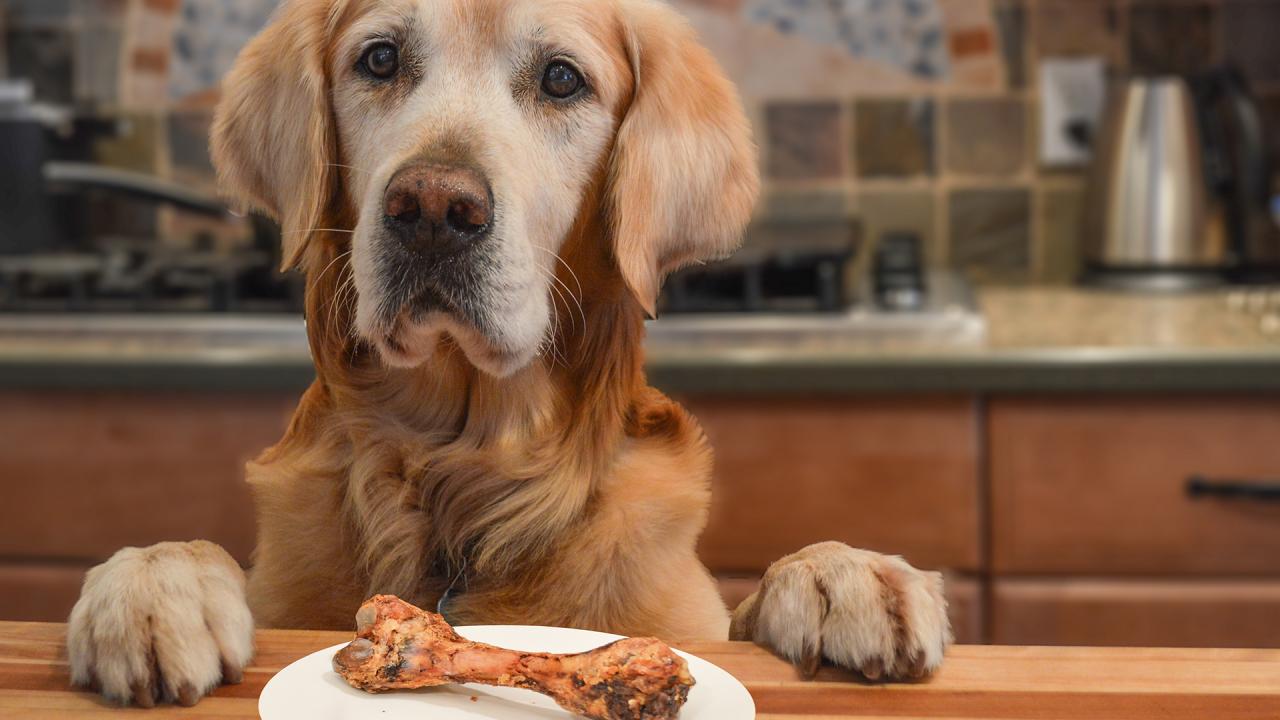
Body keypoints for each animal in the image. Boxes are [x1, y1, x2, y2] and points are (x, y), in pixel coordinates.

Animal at [67, 0, 952, 707]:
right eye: (379, 59)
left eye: (562, 79)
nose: (431, 209)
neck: (465, 477)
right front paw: (153, 582)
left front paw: (842, 574)